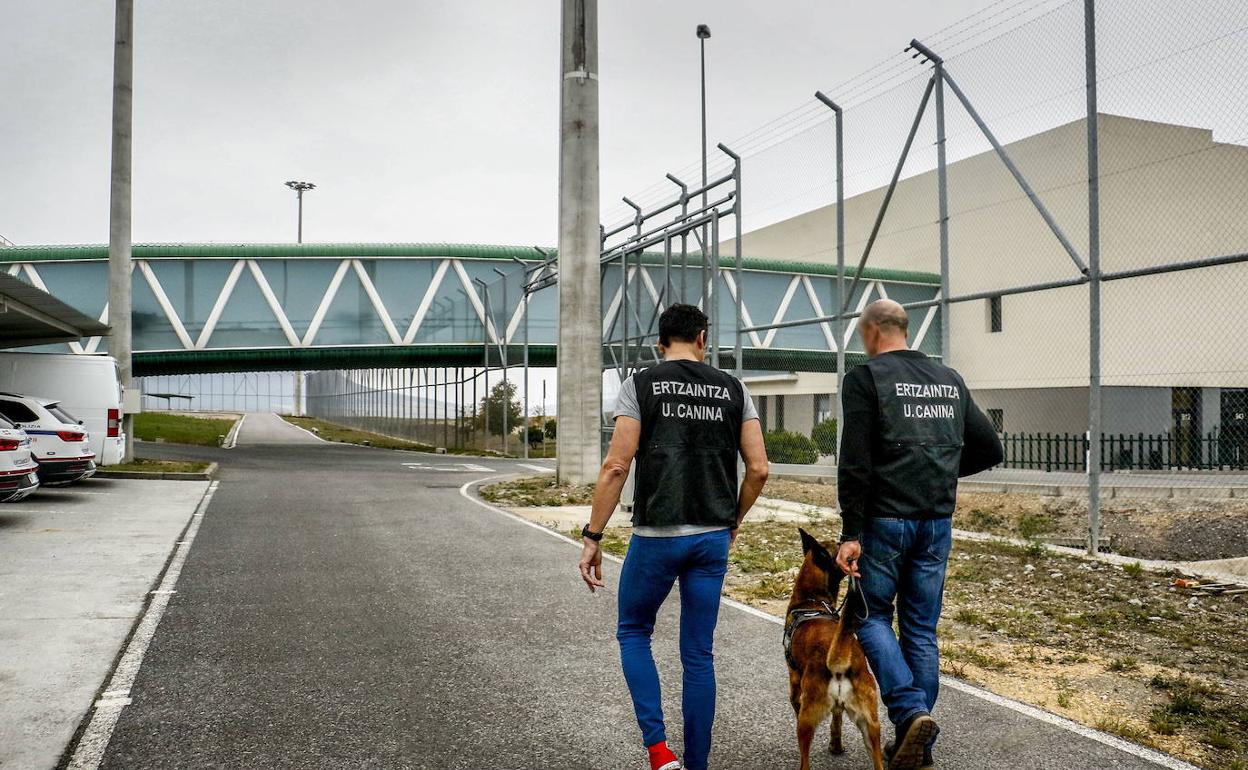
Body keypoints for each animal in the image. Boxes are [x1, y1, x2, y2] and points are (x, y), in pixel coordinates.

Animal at [778, 529, 888, 768]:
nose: (856, 554)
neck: (812, 601)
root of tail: (838, 665)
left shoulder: (794, 683)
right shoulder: (839, 710)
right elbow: (837, 722)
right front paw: (836, 746)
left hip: (806, 720)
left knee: (805, 761)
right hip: (871, 726)